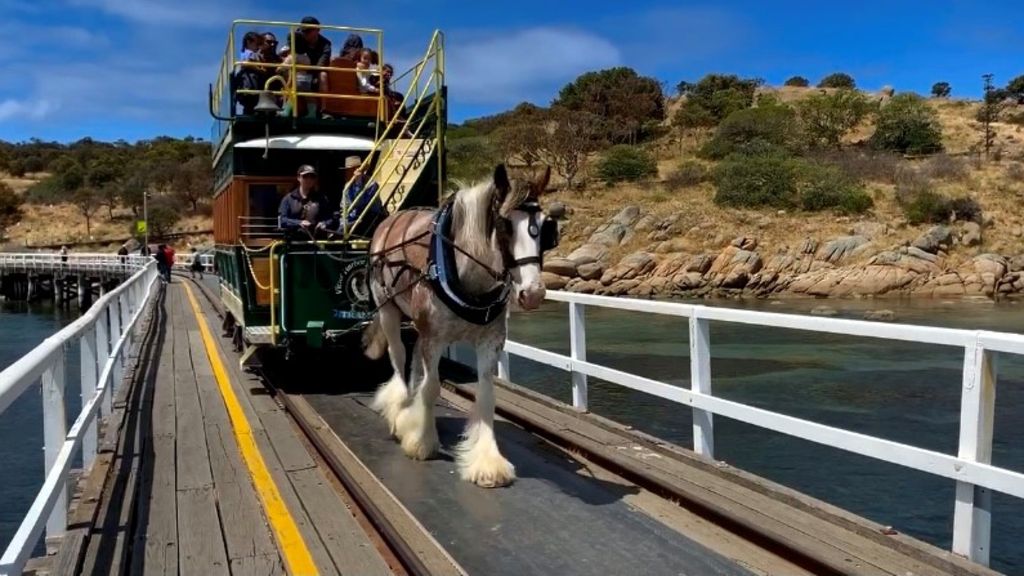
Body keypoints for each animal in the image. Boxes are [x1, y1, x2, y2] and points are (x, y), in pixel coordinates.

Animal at [360, 163, 557, 488]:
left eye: (546, 228)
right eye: (505, 225)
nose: (533, 293)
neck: (470, 276)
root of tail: (389, 221)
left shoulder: (490, 340)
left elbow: (487, 396)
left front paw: (488, 461)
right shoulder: (434, 336)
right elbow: (432, 388)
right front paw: (422, 441)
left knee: (415, 363)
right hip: (389, 310)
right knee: (398, 356)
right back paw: (400, 411)